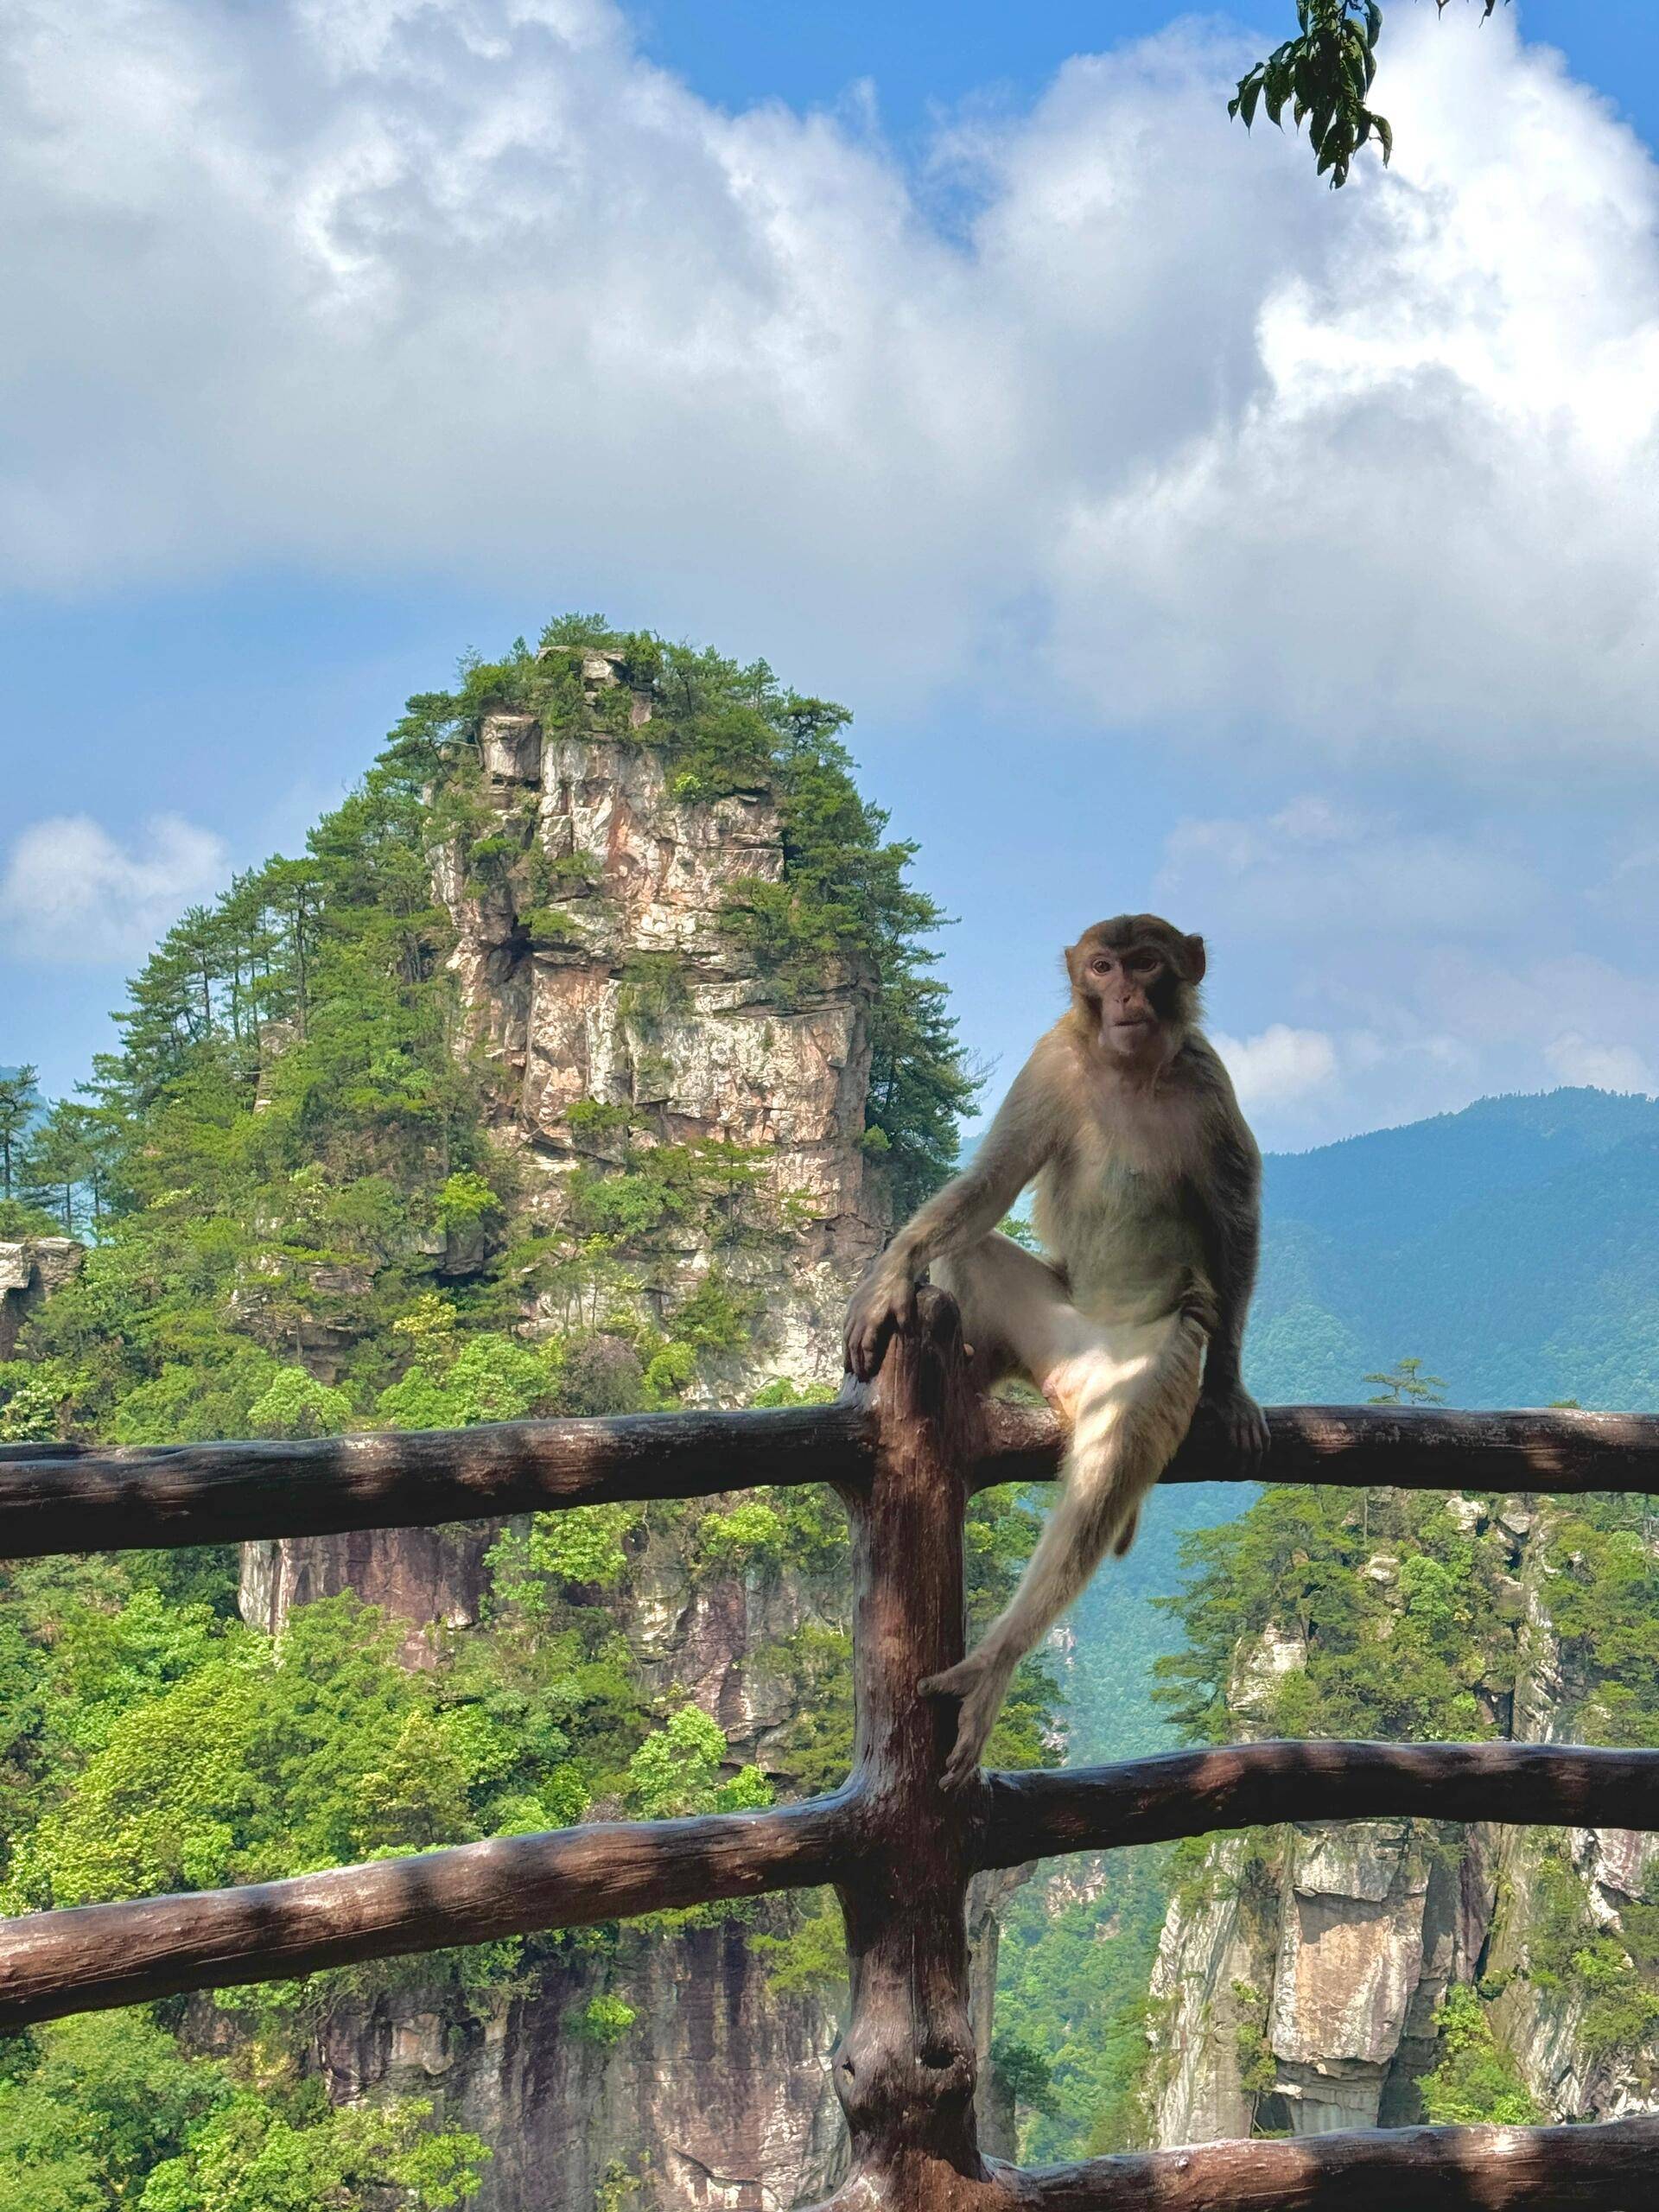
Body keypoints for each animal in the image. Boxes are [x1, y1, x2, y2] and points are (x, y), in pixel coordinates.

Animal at [844, 915, 1274, 1796]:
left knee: (1108, 1467)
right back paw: (957, 1374)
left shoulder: (1209, 1082)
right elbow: (992, 1182)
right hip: (1046, 1327)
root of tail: (1075, 1376)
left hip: (1150, 1359)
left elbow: (1235, 1215)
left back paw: (994, 1662)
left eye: (1147, 963)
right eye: (1103, 966)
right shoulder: (1051, 1059)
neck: (1128, 1070)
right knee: (971, 1254)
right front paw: (889, 1276)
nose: (1126, 997)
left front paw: (1231, 1386)